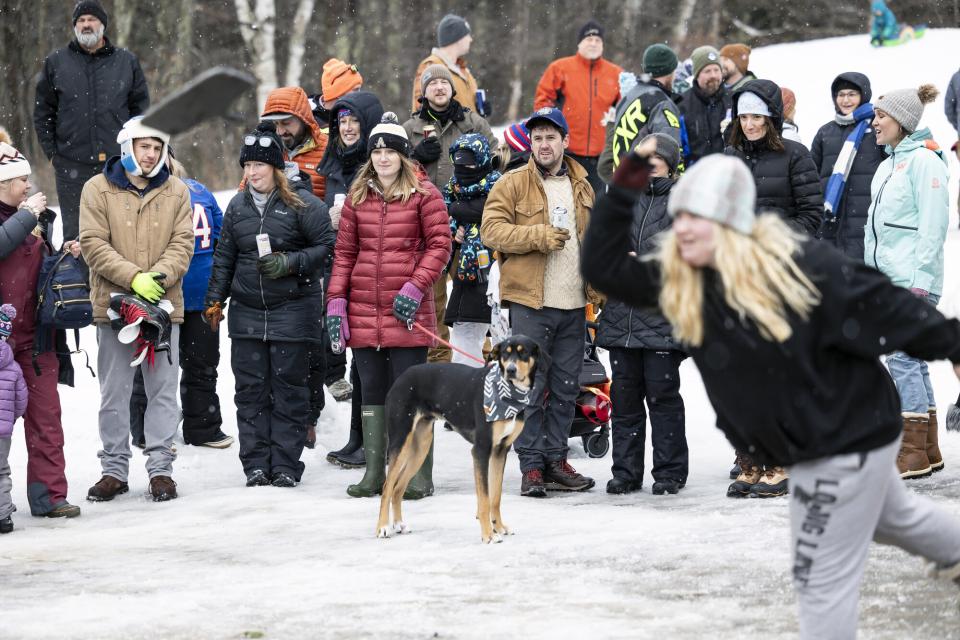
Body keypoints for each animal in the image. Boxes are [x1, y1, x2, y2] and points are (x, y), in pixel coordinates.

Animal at [374, 336, 544, 544]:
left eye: (524, 352)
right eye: (505, 353)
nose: (511, 370)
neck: (508, 395)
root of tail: (400, 378)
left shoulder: (500, 450)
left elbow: (495, 497)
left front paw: (499, 527)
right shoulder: (481, 450)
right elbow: (484, 499)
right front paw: (488, 535)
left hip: (421, 447)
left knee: (398, 487)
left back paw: (399, 524)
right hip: (401, 441)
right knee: (387, 487)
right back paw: (382, 527)